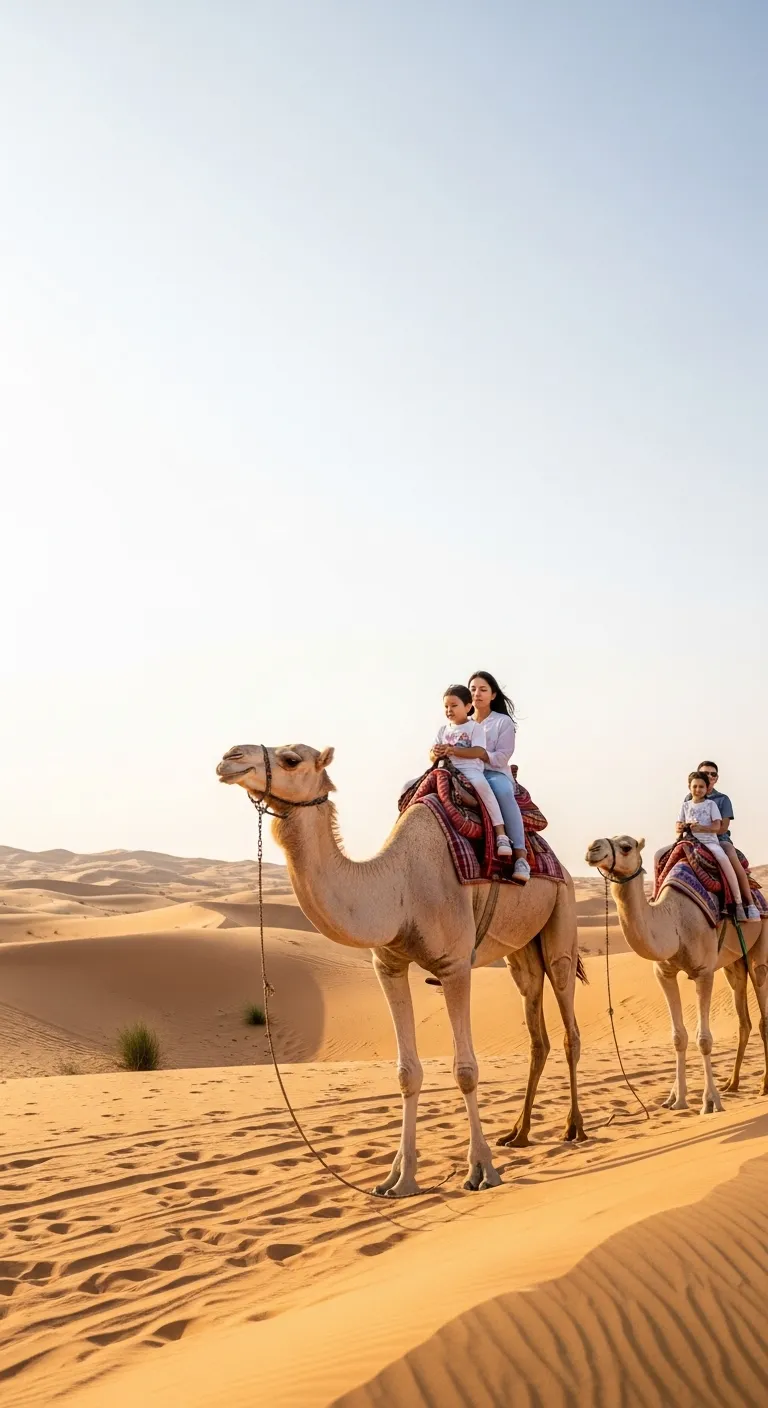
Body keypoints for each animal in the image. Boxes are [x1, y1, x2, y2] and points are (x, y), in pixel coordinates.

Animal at [216, 742, 586, 1198]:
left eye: (290, 759)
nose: (230, 757)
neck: (400, 887)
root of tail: (561, 866)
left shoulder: (454, 966)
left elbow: (466, 1070)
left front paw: (481, 1169)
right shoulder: (387, 966)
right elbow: (407, 1073)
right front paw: (399, 1178)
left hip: (561, 918)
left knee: (568, 1021)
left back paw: (574, 1128)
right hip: (521, 952)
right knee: (537, 1029)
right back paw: (518, 1133)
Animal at [585, 835, 768, 1114]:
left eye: (626, 846)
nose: (592, 848)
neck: (674, 921)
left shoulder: (704, 972)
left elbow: (704, 1039)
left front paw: (710, 1102)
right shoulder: (664, 973)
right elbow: (678, 1037)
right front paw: (676, 1099)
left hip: (761, 944)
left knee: (761, 1000)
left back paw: (763, 1087)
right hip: (734, 964)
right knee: (743, 1017)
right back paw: (732, 1083)